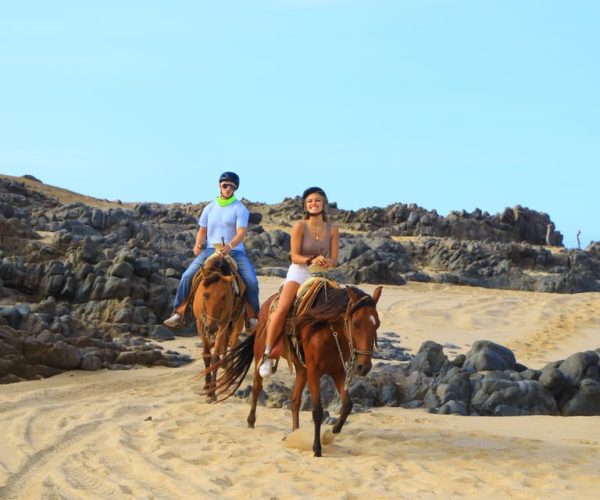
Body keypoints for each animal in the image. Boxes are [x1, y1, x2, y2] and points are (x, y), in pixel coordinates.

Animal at [193, 256, 247, 404]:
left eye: (223, 297)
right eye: (205, 295)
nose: (211, 327)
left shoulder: (223, 323)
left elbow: (215, 357)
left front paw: (211, 393)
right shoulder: (201, 323)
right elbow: (207, 355)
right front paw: (206, 386)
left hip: (237, 322)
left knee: (232, 345)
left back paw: (229, 374)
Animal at [209, 282, 382, 458]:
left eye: (377, 324)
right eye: (356, 323)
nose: (363, 367)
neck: (328, 330)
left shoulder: (337, 371)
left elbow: (347, 405)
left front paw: (332, 433)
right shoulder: (314, 371)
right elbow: (317, 411)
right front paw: (317, 448)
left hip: (301, 369)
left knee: (295, 401)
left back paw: (295, 432)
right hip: (260, 354)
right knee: (257, 387)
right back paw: (251, 421)